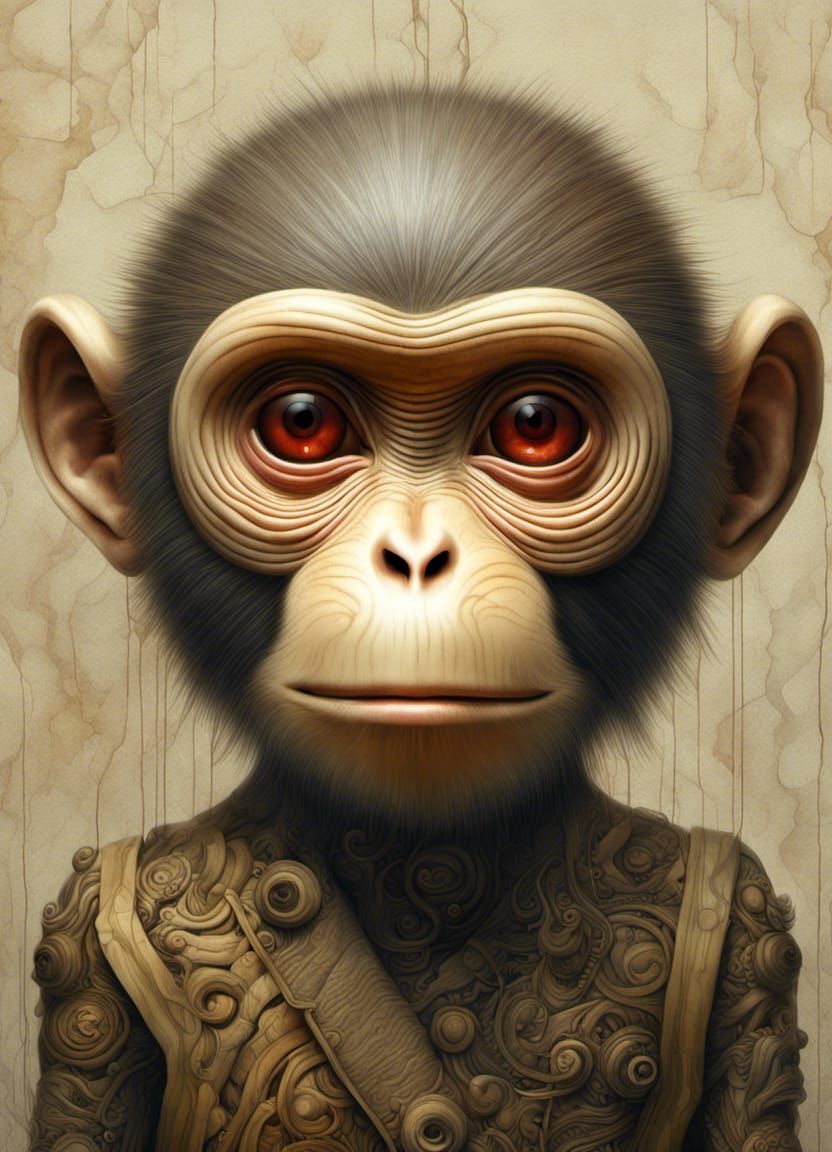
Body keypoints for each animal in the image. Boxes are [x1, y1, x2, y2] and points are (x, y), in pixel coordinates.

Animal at [18, 86, 822, 1152]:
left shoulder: (751, 932)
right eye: (303, 421)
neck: (429, 870)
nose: (415, 557)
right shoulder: (80, 938)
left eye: (534, 424)